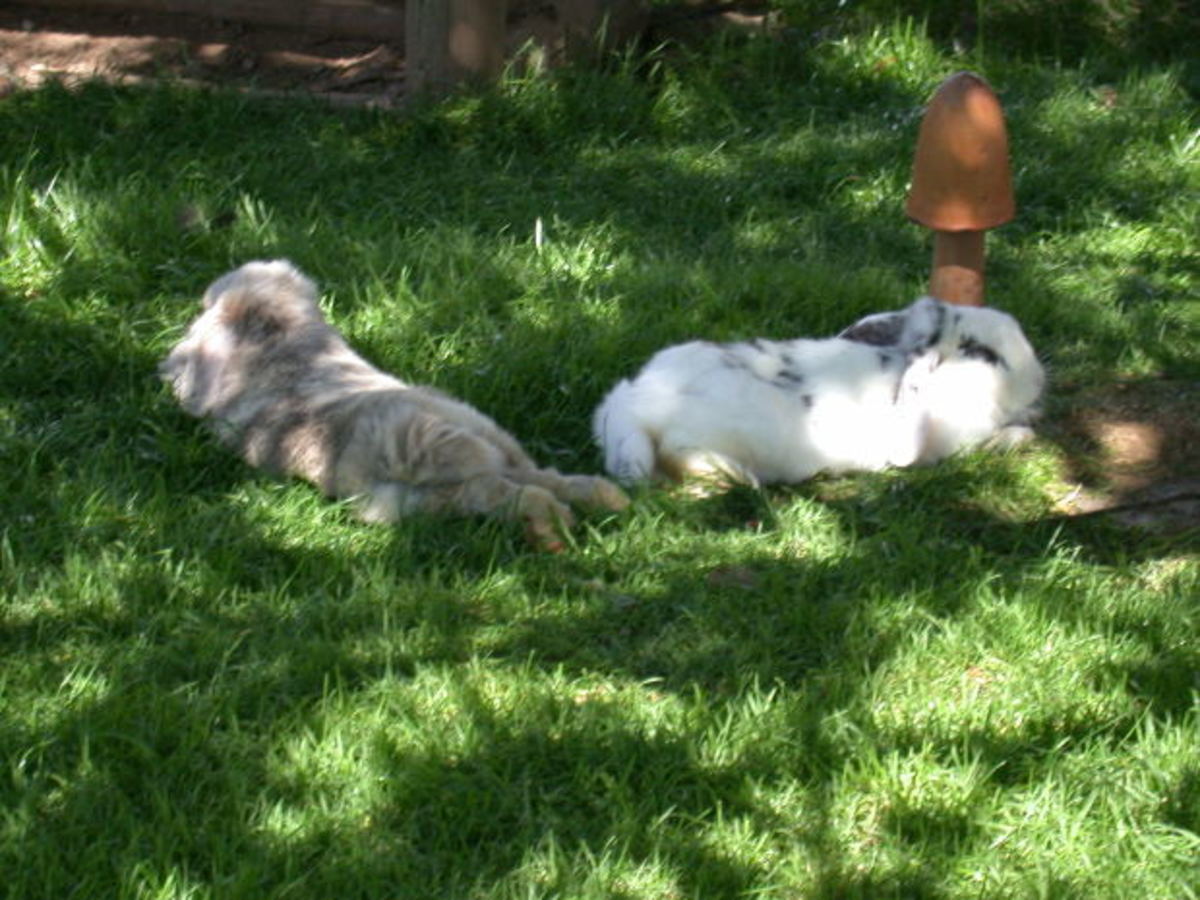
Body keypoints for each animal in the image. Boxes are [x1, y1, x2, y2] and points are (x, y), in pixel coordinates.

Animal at [160, 260, 628, 548]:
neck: (276, 335)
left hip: (417, 492)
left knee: (509, 494)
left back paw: (556, 526)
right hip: (475, 454)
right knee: (542, 479)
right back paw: (607, 502)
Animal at [593, 295, 1044, 486]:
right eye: (982, 353)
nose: (1040, 378)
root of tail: (635, 408)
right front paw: (1021, 433)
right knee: (680, 456)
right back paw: (745, 480)